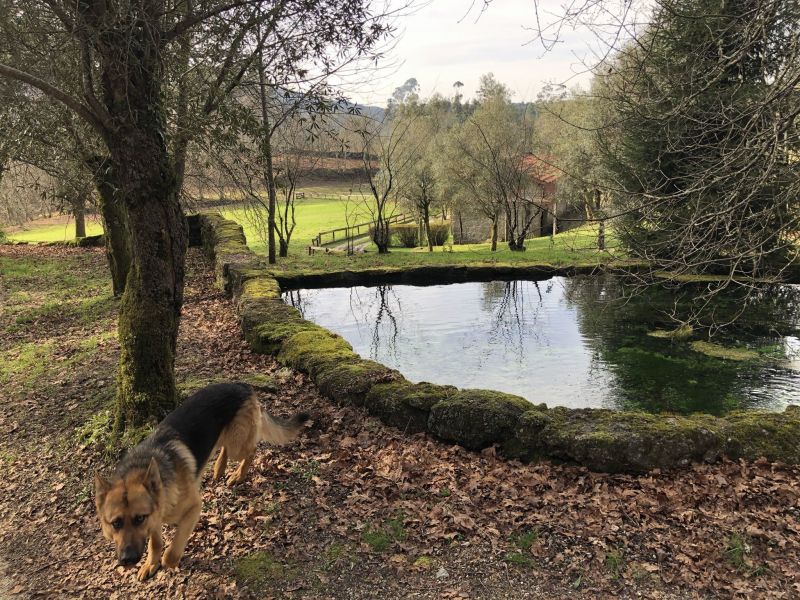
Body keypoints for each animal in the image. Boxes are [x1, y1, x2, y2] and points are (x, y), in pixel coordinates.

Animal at [94, 382, 306, 580]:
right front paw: (151, 563)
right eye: (116, 523)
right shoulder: (155, 519)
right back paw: (219, 467)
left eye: (139, 519)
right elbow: (155, 543)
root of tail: (242, 385)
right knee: (225, 447)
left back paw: (238, 474)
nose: (127, 560)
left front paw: (169, 562)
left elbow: (174, 547)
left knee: (251, 449)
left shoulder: (193, 508)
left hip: (237, 444)